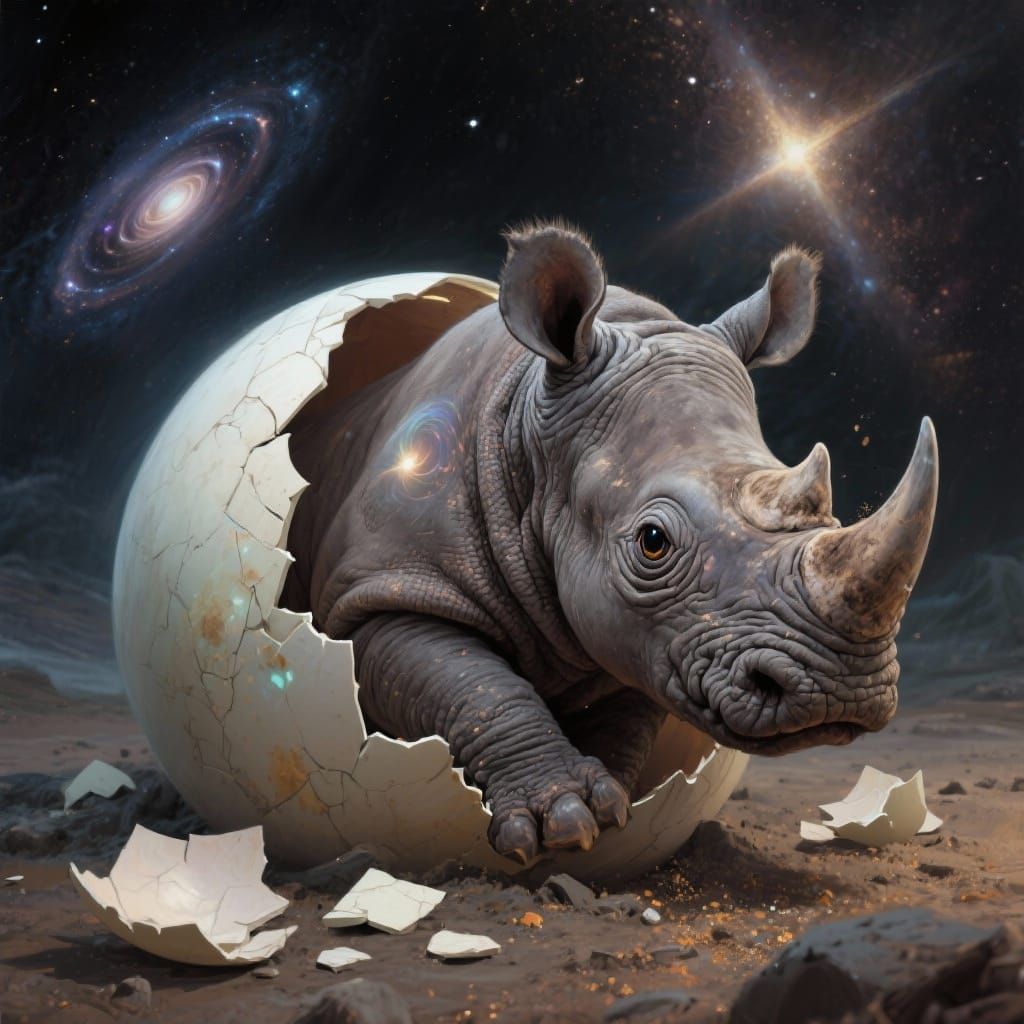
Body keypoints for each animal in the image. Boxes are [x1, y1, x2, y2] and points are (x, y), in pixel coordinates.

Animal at [284, 221, 938, 864]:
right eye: (652, 542)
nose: (841, 691)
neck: (524, 430)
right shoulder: (383, 588)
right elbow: (471, 681)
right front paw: (563, 820)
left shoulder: (657, 639)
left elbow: (627, 715)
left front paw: (611, 805)